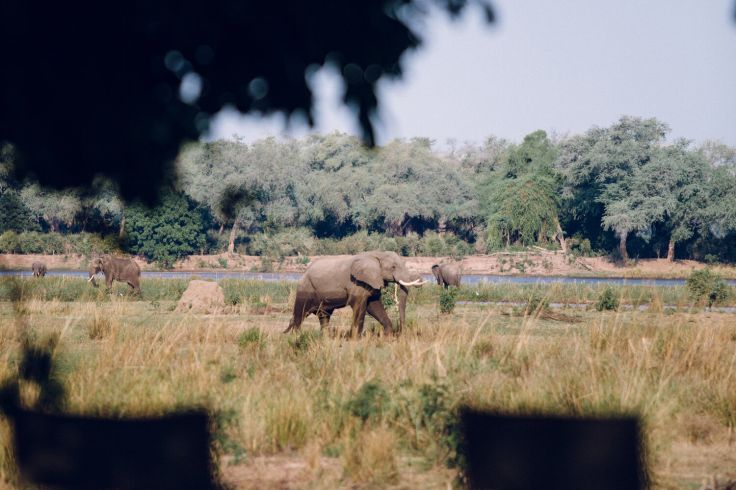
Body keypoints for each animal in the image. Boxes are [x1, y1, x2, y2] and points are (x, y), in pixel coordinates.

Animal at [284, 251, 428, 334]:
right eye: (393, 267)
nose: (401, 333)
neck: (376, 254)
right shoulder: (357, 283)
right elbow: (360, 307)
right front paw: (355, 339)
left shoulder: (370, 283)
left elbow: (374, 306)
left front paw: (388, 336)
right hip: (305, 288)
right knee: (300, 313)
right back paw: (295, 336)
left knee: (324, 315)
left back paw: (325, 337)